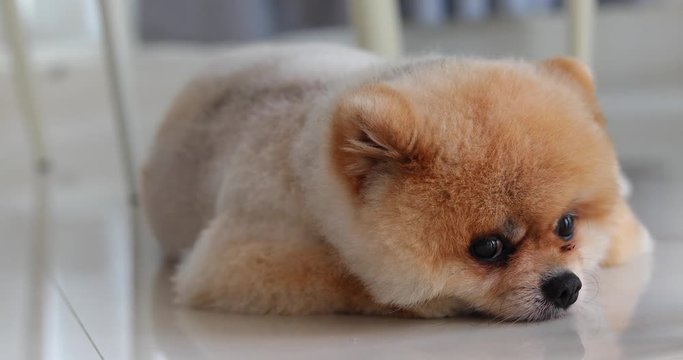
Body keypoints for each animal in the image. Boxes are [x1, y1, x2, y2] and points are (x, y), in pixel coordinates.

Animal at [142, 43, 656, 322]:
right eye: (488, 248)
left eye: (567, 225)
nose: (566, 286)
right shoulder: (235, 260)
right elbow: (349, 280)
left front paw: (621, 236)